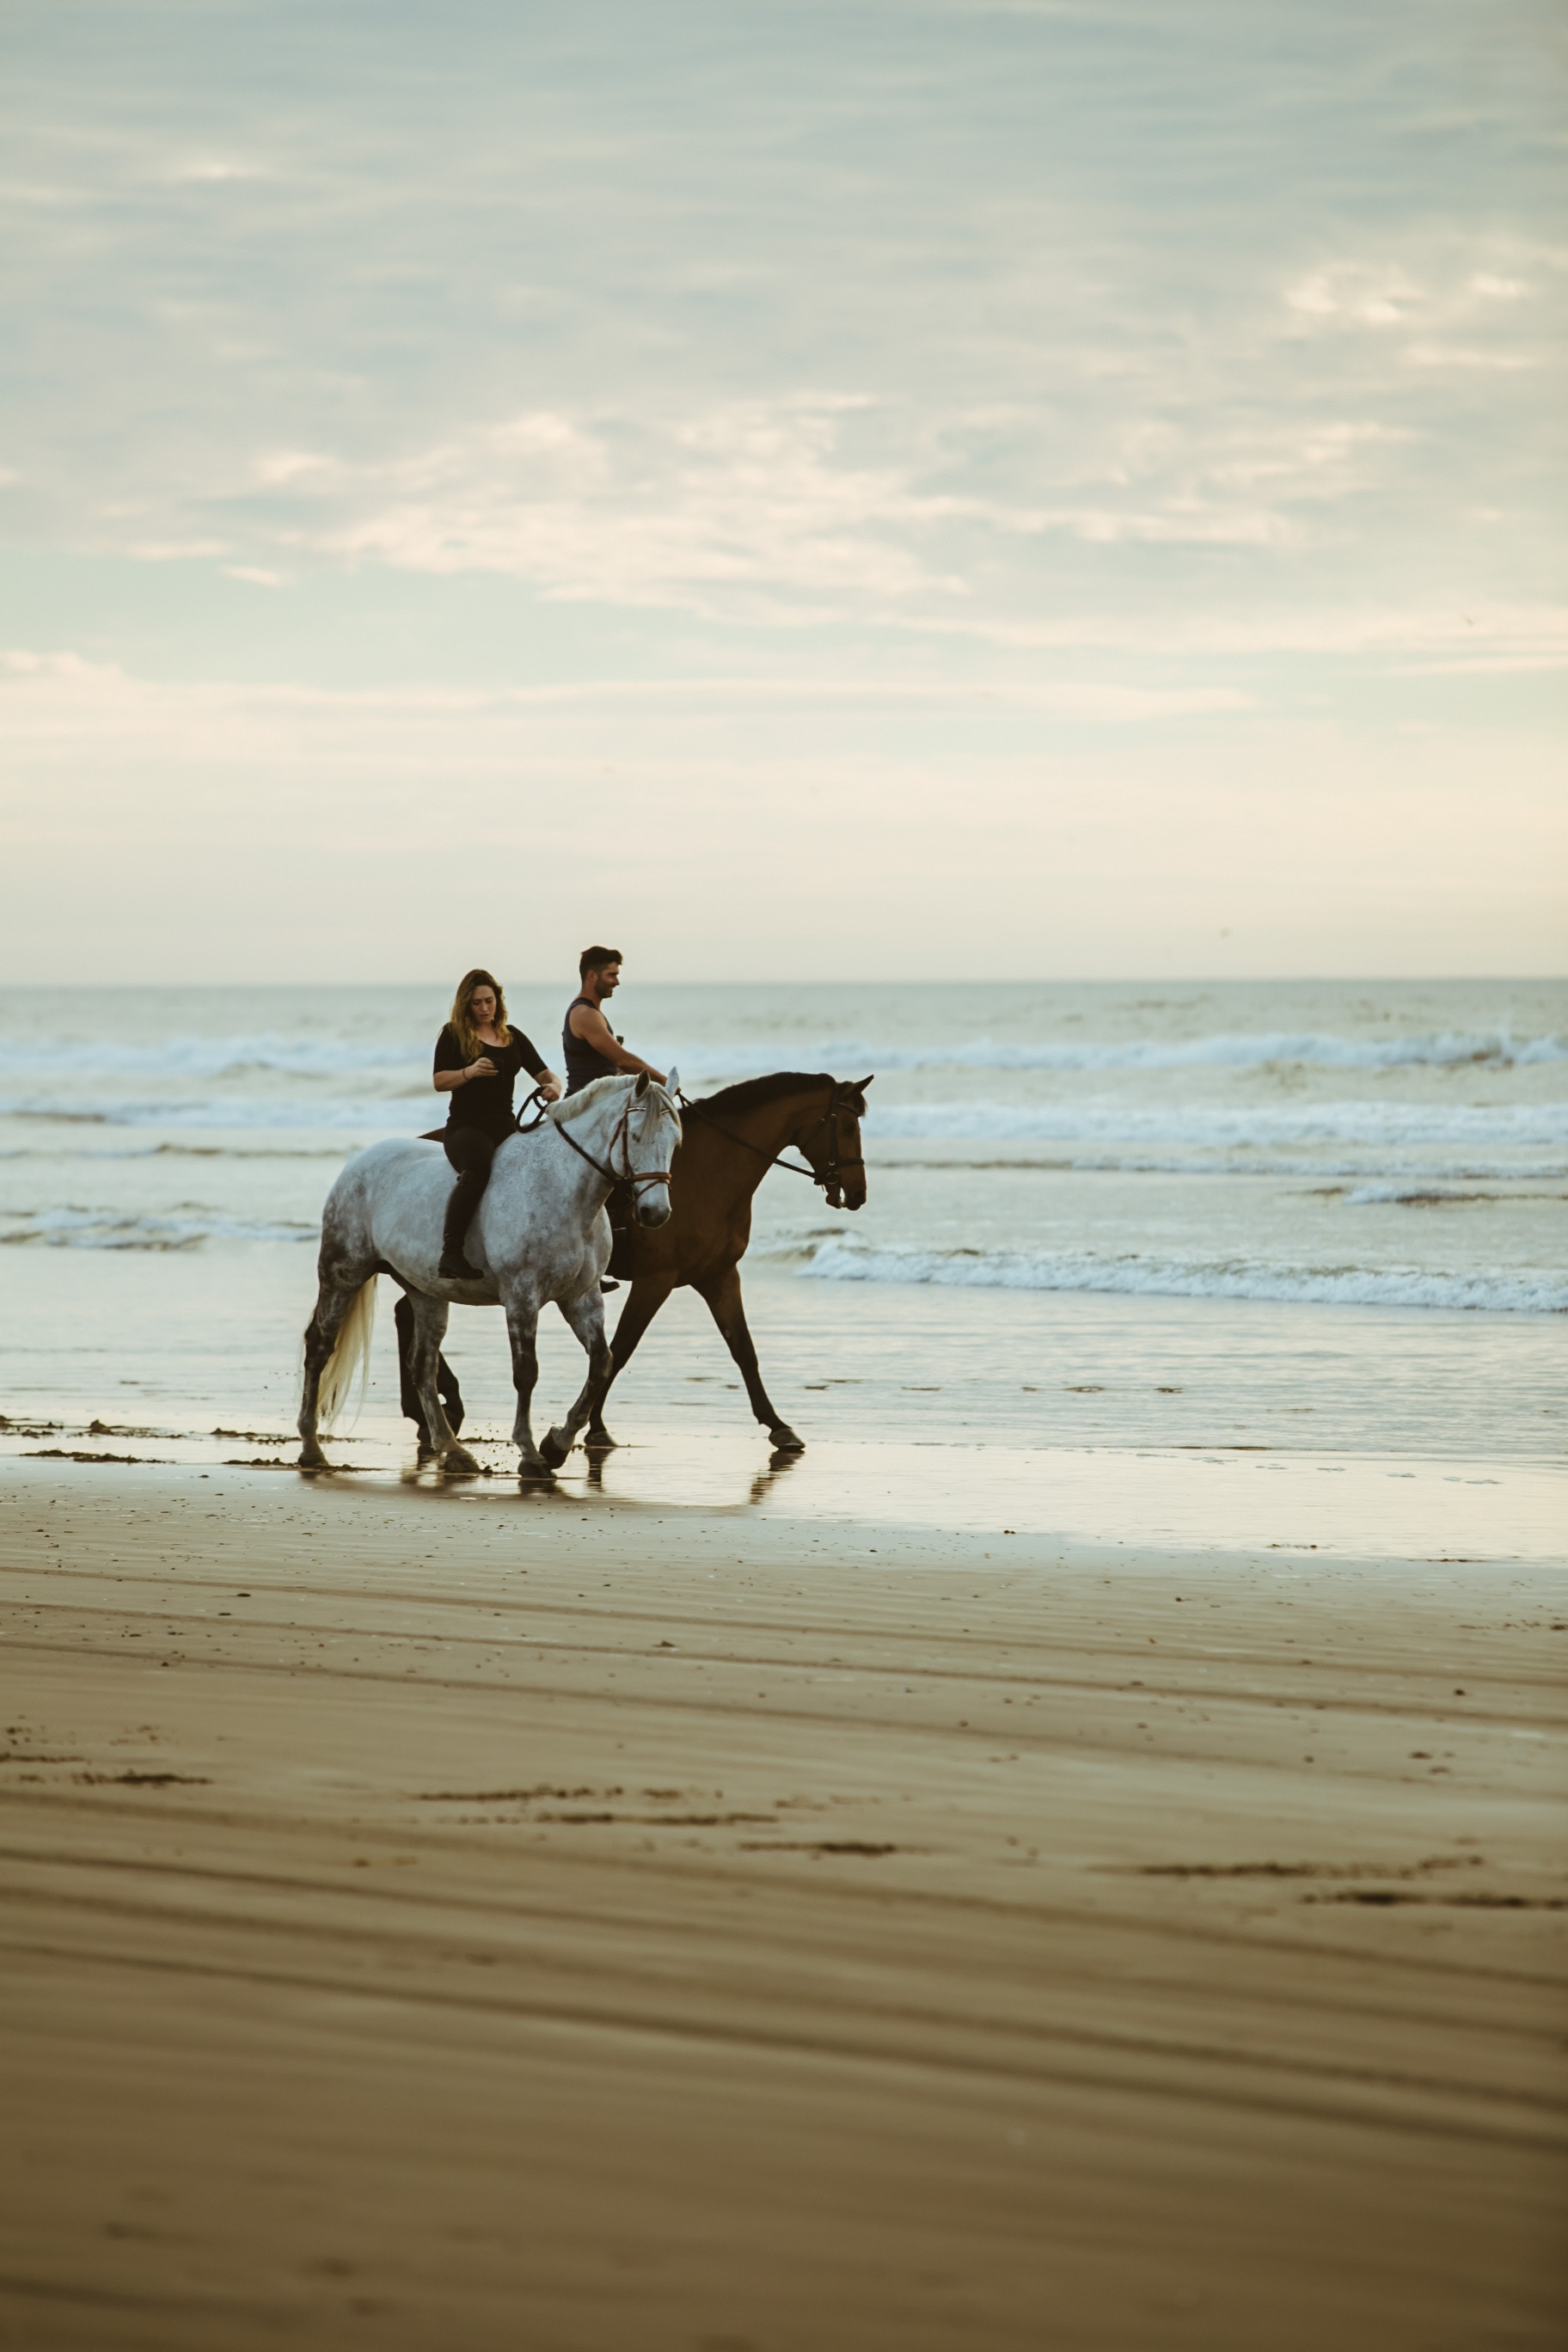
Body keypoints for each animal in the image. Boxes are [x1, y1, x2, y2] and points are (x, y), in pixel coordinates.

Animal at [301, 1077, 682, 1477]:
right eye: (636, 1136)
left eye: (675, 1141)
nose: (655, 1213)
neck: (564, 1190)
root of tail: (358, 1163)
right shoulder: (521, 1295)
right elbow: (526, 1372)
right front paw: (530, 1453)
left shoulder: (582, 1297)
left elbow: (601, 1363)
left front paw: (557, 1444)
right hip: (343, 1272)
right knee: (320, 1346)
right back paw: (311, 1448)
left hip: (426, 1292)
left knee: (422, 1365)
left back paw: (452, 1449)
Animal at [395, 1077, 869, 1458]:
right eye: (847, 1128)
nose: (858, 1192)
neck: (710, 1173)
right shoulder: (656, 1280)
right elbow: (621, 1350)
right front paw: (590, 1428)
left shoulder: (718, 1276)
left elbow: (744, 1351)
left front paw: (779, 1426)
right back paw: (436, 1409)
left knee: (406, 1314)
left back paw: (430, 1410)